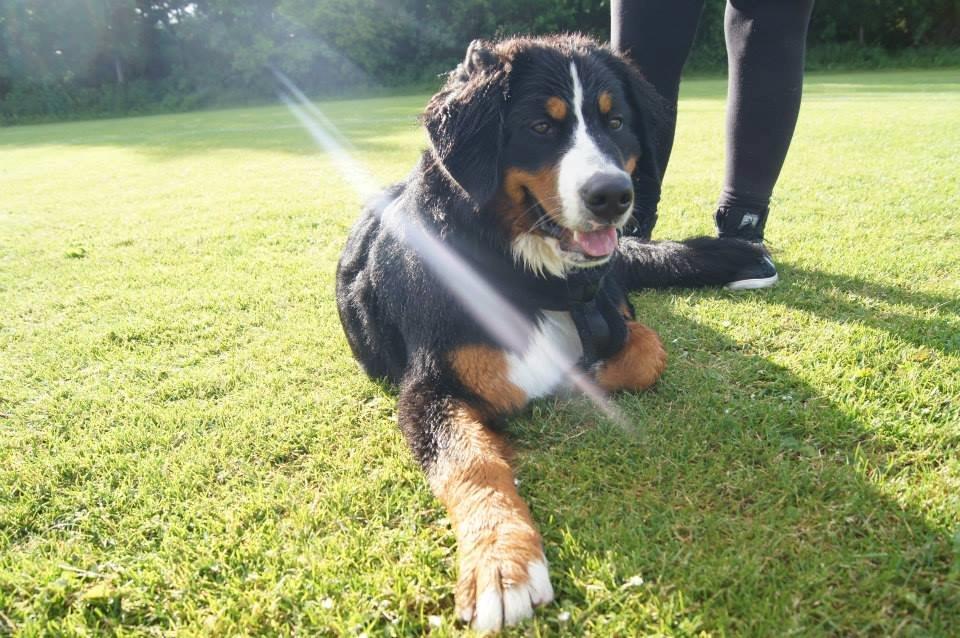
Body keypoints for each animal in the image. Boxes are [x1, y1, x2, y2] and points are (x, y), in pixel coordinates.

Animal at [334, 33, 760, 632]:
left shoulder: (610, 310)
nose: (613, 195)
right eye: (540, 126)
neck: (529, 275)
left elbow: (647, 351)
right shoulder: (427, 389)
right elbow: (473, 464)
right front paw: (499, 562)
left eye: (615, 122)